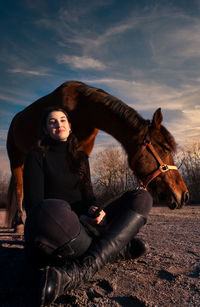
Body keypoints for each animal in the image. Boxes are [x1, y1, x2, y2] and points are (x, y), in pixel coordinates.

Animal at [6, 80, 189, 232]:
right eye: (165, 147)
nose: (184, 195)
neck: (84, 108)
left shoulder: (82, 152)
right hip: (15, 158)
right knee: (19, 188)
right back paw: (19, 223)